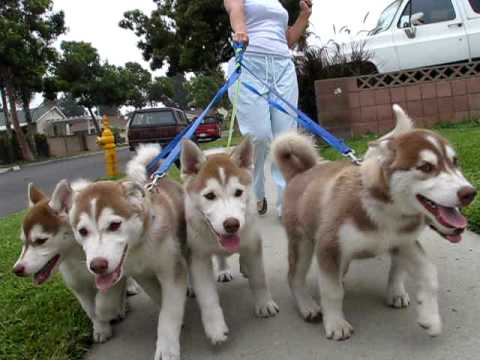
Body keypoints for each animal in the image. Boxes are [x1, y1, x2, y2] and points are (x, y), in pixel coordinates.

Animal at [12, 180, 128, 344]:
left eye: (40, 241)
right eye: (24, 242)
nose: (17, 270)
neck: (79, 254)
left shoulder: (113, 272)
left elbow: (104, 302)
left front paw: (107, 313)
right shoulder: (77, 285)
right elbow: (91, 310)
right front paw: (100, 328)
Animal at [66, 143, 188, 360]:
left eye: (114, 225)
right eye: (82, 231)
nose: (97, 265)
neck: (140, 245)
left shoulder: (172, 269)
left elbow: (169, 310)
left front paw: (166, 348)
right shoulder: (142, 274)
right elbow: (156, 297)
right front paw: (105, 314)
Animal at [179, 136, 278, 344]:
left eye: (238, 192)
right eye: (209, 196)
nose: (232, 224)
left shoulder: (252, 243)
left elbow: (259, 279)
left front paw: (264, 303)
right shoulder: (199, 257)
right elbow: (207, 296)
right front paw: (215, 327)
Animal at [272, 105, 478, 340]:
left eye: (455, 162)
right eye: (425, 167)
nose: (470, 193)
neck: (388, 213)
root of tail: (301, 172)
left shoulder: (403, 243)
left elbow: (428, 273)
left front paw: (430, 317)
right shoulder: (329, 246)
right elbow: (332, 291)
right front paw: (335, 323)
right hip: (302, 242)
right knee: (294, 277)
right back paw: (307, 306)